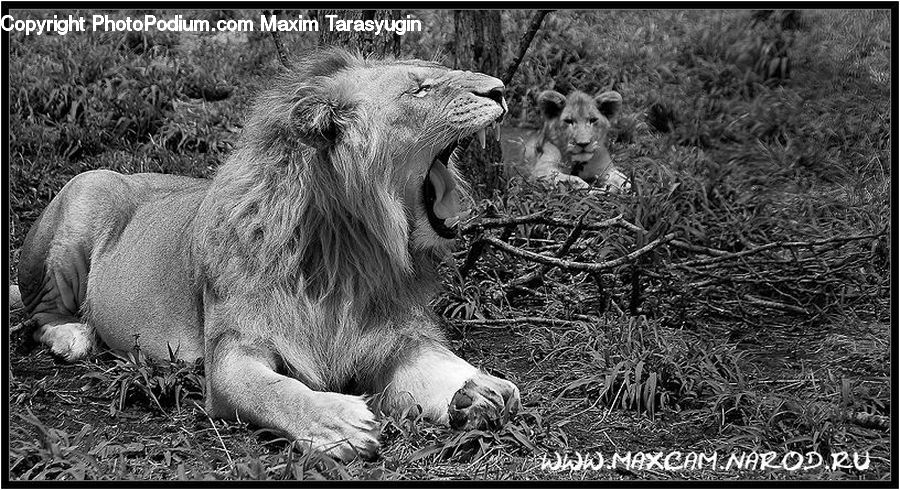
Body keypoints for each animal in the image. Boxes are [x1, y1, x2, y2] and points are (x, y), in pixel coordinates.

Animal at [13, 49, 520, 461]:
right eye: (420, 88)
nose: (500, 89)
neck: (347, 249)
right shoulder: (230, 355)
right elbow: (274, 390)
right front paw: (337, 422)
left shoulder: (390, 335)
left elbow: (433, 365)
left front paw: (477, 390)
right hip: (88, 190)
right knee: (39, 314)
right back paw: (73, 335)